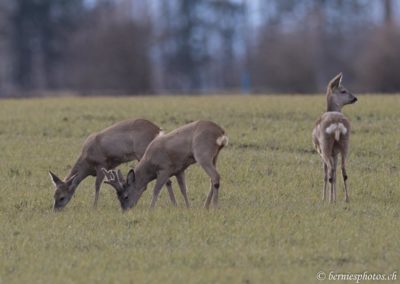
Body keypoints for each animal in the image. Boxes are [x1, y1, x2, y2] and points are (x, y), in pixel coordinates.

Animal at [310, 73, 358, 202]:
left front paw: (324, 198)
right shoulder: (335, 153)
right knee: (343, 170)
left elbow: (325, 174)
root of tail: (336, 124)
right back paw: (346, 199)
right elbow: (336, 173)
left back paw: (330, 200)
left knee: (330, 172)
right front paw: (334, 196)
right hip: (345, 144)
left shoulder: (321, 152)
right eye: (343, 91)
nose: (355, 98)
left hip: (325, 145)